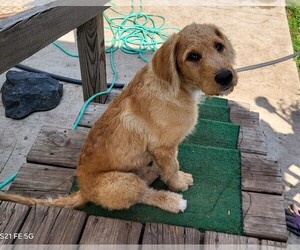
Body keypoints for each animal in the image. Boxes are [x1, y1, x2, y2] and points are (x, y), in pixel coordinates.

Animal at [0, 23, 239, 214]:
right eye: (193, 57)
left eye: (219, 46)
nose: (226, 77)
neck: (177, 87)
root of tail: (83, 191)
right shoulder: (163, 147)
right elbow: (171, 168)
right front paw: (178, 183)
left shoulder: (165, 148)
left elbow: (172, 164)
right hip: (123, 181)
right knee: (143, 194)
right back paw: (171, 201)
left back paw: (151, 170)